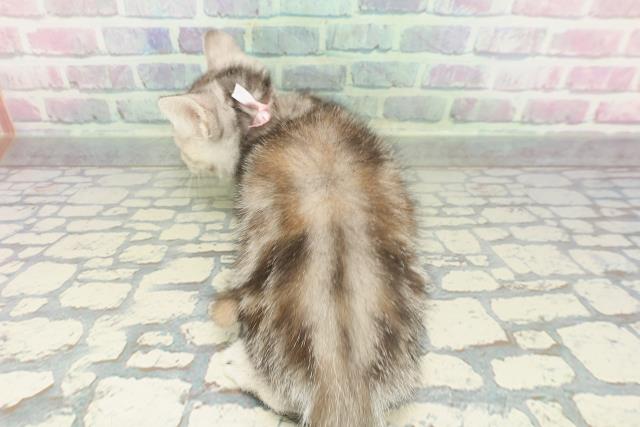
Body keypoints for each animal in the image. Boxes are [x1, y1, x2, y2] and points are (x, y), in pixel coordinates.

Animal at [158, 30, 426, 427]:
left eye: (183, 144)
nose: (182, 160)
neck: (268, 115)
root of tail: (342, 379)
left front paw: (226, 277)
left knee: (279, 397)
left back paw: (229, 366)